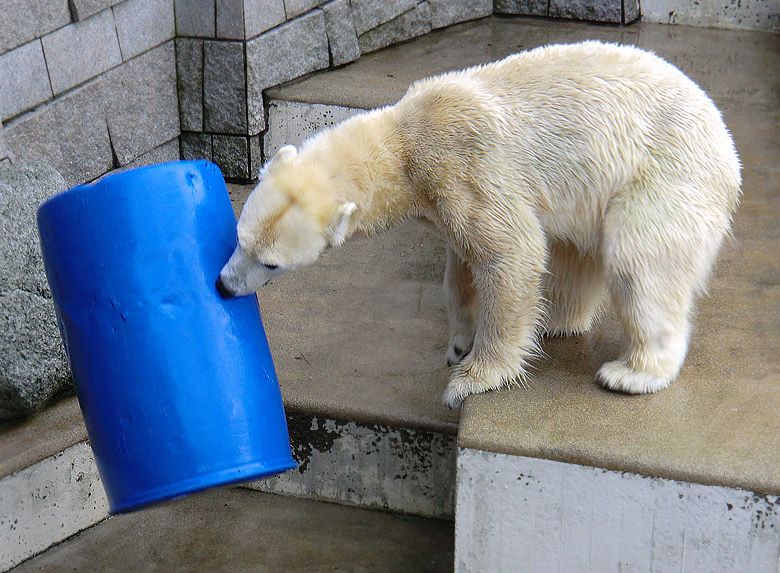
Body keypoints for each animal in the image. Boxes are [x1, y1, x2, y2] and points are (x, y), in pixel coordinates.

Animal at [216, 41, 740, 406]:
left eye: (272, 264)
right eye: (239, 239)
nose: (223, 286)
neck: (403, 140)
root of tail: (727, 147)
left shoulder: (460, 162)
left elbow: (512, 250)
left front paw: (470, 380)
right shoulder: (441, 195)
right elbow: (463, 265)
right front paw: (459, 343)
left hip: (665, 175)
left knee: (640, 262)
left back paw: (632, 372)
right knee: (574, 252)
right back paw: (554, 320)